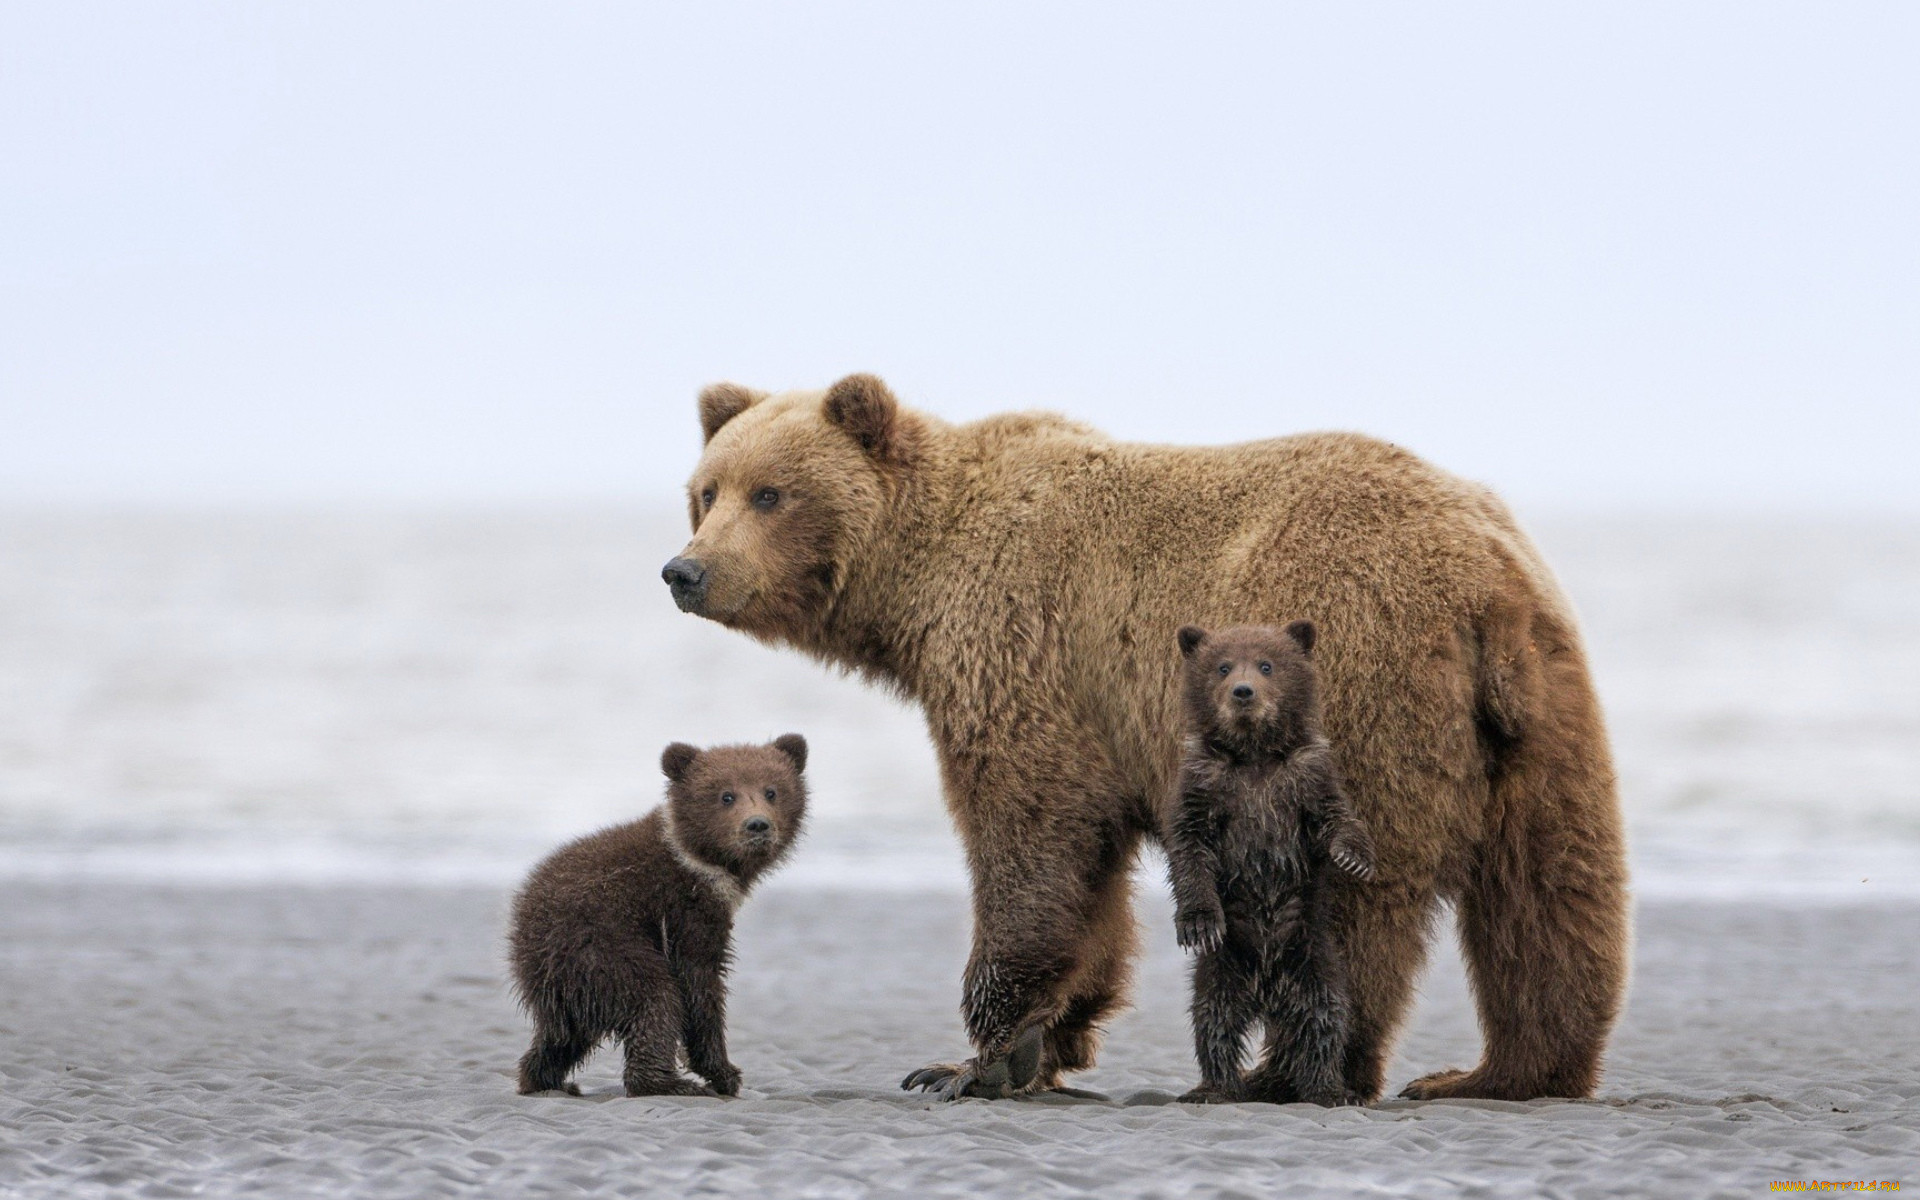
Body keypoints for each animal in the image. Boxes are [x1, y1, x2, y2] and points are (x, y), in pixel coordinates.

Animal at [668, 374, 1628, 1105]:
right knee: (1551, 889)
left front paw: (971, 1059)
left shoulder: (1023, 649)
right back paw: (1502, 1073)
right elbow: (1090, 877)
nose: (687, 570)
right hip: (1540, 713)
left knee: (1353, 902)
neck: (919, 582)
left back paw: (1286, 1074)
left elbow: (1032, 837)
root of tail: (1484, 583)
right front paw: (1048, 1040)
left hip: (1360, 684)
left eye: (771, 492)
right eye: (707, 490)